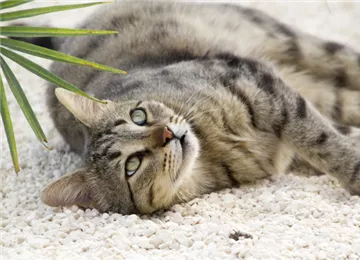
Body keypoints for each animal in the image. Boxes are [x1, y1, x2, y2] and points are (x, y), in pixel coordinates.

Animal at [31, 1, 360, 213]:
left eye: (138, 116)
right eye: (131, 165)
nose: (167, 134)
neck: (213, 145)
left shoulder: (258, 84)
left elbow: (321, 141)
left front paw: (353, 170)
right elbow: (325, 139)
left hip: (298, 45)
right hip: (321, 89)